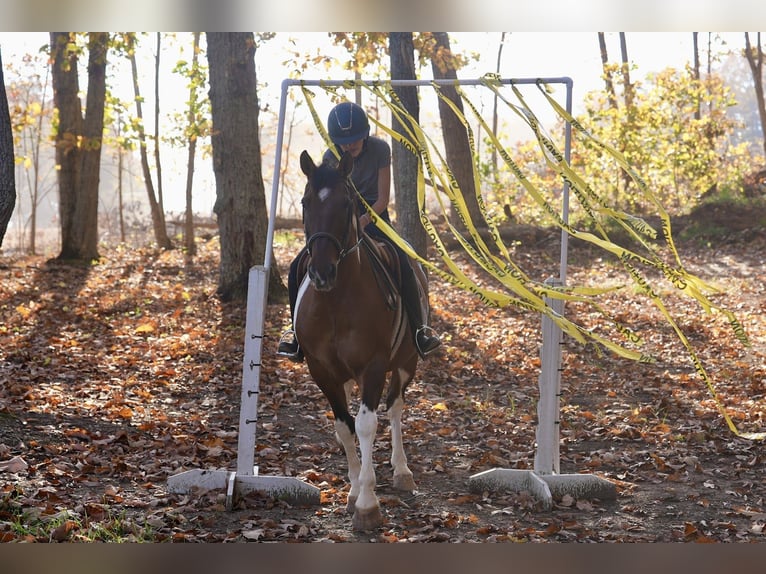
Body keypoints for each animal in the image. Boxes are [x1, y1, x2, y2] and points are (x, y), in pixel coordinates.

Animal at [292, 149, 427, 531]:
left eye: (347, 202)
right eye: (306, 202)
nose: (321, 273)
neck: (336, 302)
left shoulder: (375, 366)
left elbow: (367, 425)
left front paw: (367, 503)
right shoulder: (321, 370)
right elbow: (344, 426)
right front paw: (353, 491)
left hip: (406, 363)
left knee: (395, 408)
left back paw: (401, 470)